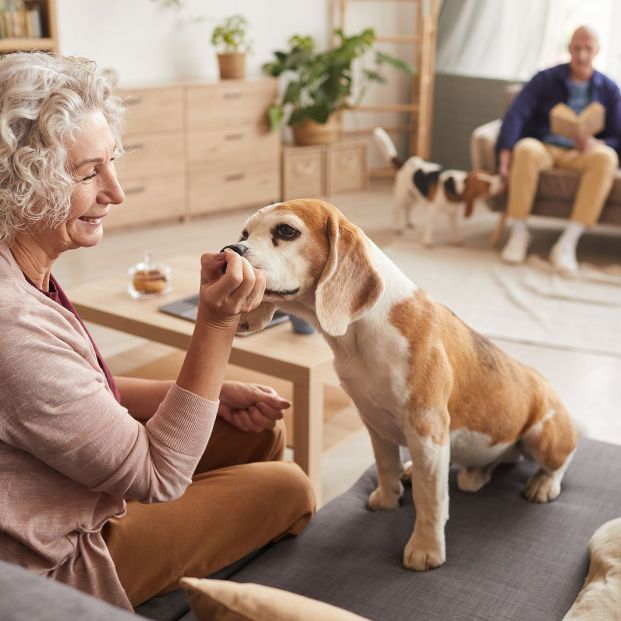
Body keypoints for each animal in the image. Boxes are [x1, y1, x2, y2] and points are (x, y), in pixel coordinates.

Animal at [230, 199, 580, 572]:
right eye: (245, 234)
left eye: (286, 231)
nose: (230, 250)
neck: (359, 334)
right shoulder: (373, 421)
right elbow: (386, 466)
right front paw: (387, 498)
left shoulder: (427, 431)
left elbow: (430, 499)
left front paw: (426, 548)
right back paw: (472, 474)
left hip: (542, 436)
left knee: (563, 458)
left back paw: (543, 483)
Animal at [372, 127, 504, 246]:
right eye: (487, 185)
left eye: (489, 174)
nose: (501, 178)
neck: (454, 185)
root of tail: (404, 162)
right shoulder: (432, 210)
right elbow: (431, 226)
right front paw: (428, 241)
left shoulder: (452, 214)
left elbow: (455, 228)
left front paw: (456, 240)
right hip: (401, 195)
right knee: (396, 211)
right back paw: (397, 227)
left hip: (414, 196)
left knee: (408, 208)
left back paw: (409, 222)